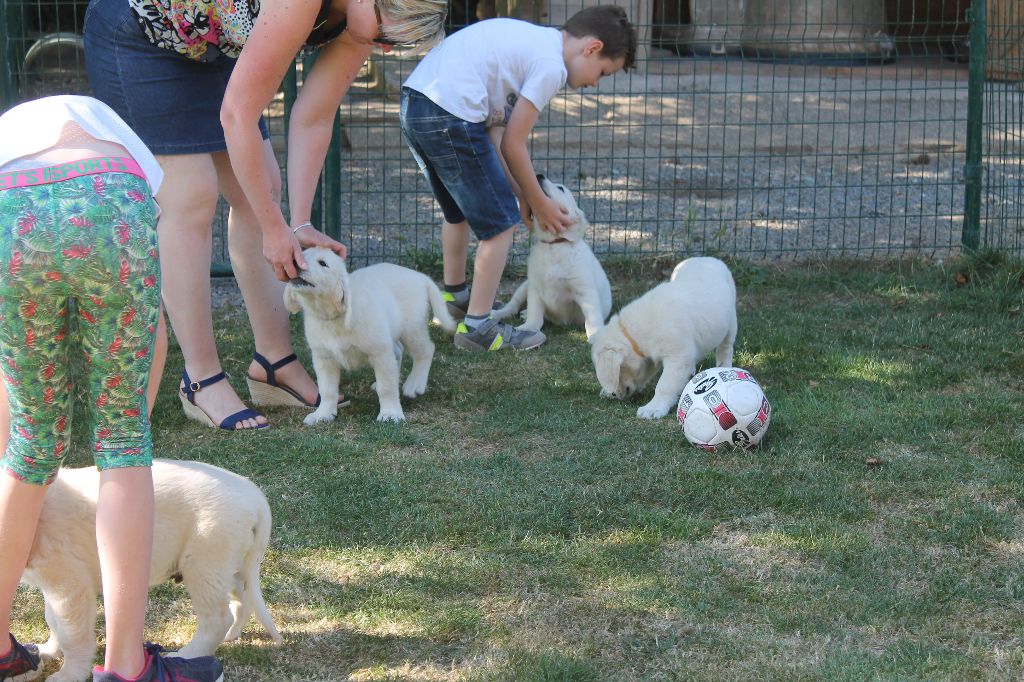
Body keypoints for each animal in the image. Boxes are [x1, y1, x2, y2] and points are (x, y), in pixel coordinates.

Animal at [22, 456, 284, 679]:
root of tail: (256, 498)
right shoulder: (55, 584)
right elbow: (53, 620)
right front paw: (47, 650)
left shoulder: (70, 587)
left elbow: (71, 633)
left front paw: (69, 674)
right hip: (230, 564)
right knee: (243, 600)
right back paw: (231, 635)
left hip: (204, 564)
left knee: (217, 619)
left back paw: (187, 655)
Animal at [282, 246, 454, 421]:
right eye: (302, 254)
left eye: (323, 263)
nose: (294, 262)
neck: (333, 317)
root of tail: (421, 277)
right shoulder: (324, 358)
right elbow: (327, 390)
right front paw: (322, 414)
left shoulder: (380, 352)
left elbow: (387, 387)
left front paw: (390, 413)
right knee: (399, 351)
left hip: (412, 328)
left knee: (426, 350)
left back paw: (414, 384)